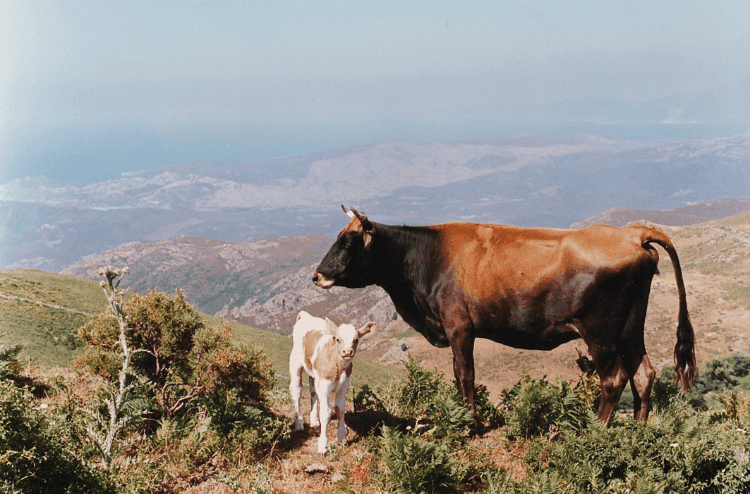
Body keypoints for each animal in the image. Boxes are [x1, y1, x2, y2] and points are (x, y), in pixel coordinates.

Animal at [289, 310, 376, 454]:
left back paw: (314, 421)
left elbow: (340, 410)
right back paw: (299, 423)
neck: (338, 367)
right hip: (295, 361)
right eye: (338, 339)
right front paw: (323, 446)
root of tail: (305, 315)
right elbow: (326, 413)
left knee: (312, 390)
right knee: (296, 389)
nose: (347, 352)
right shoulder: (325, 386)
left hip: (315, 374)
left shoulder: (344, 386)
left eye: (356, 340)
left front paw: (342, 438)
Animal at [312, 206, 696, 426]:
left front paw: (471, 420)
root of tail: (632, 234)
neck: (428, 256)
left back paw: (596, 428)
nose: (316, 275)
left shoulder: (459, 326)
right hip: (631, 327)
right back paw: (639, 428)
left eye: (347, 243)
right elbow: (459, 375)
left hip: (599, 331)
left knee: (615, 378)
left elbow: (465, 374)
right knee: (644, 373)